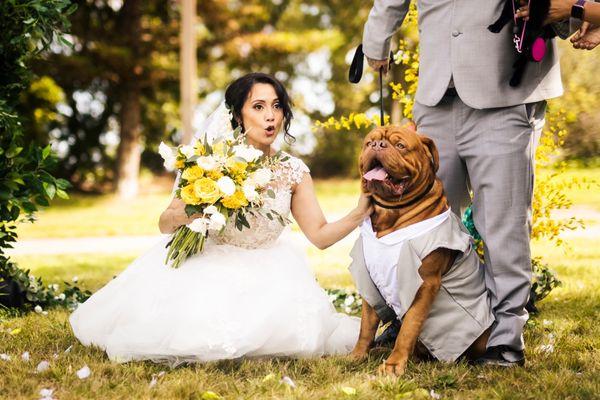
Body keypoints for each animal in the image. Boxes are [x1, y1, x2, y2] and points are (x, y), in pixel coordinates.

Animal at [350, 123, 490, 376]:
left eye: (400, 145)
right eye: (368, 143)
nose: (378, 145)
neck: (391, 215)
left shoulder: (424, 283)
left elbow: (409, 327)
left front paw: (393, 365)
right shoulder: (370, 280)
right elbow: (366, 325)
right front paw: (358, 355)